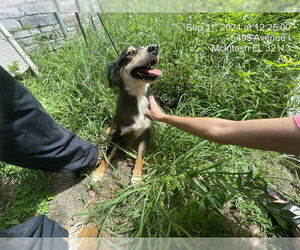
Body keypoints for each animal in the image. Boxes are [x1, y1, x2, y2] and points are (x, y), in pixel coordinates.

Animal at [93, 44, 162, 184]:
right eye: (130, 53)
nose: (154, 47)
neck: (138, 96)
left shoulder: (145, 134)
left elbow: (140, 156)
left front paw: (136, 176)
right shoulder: (117, 136)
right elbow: (107, 156)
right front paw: (98, 173)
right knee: (113, 121)